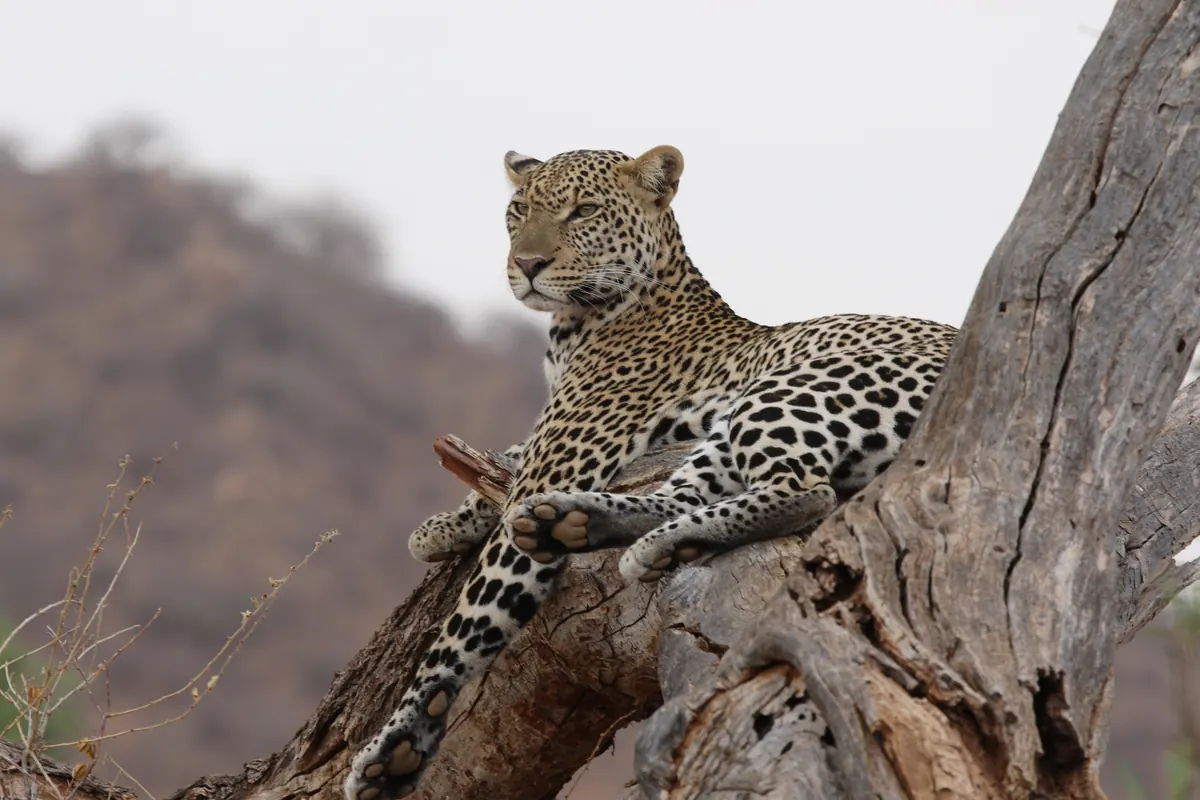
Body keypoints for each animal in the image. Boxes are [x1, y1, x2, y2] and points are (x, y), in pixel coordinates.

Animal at [344, 145, 956, 800]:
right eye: (519, 210)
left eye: (584, 211)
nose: (528, 264)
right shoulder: (547, 445)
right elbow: (506, 456)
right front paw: (441, 526)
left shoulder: (560, 454)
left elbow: (469, 619)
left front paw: (398, 742)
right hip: (728, 427)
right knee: (682, 493)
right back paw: (592, 527)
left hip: (790, 386)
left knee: (804, 489)